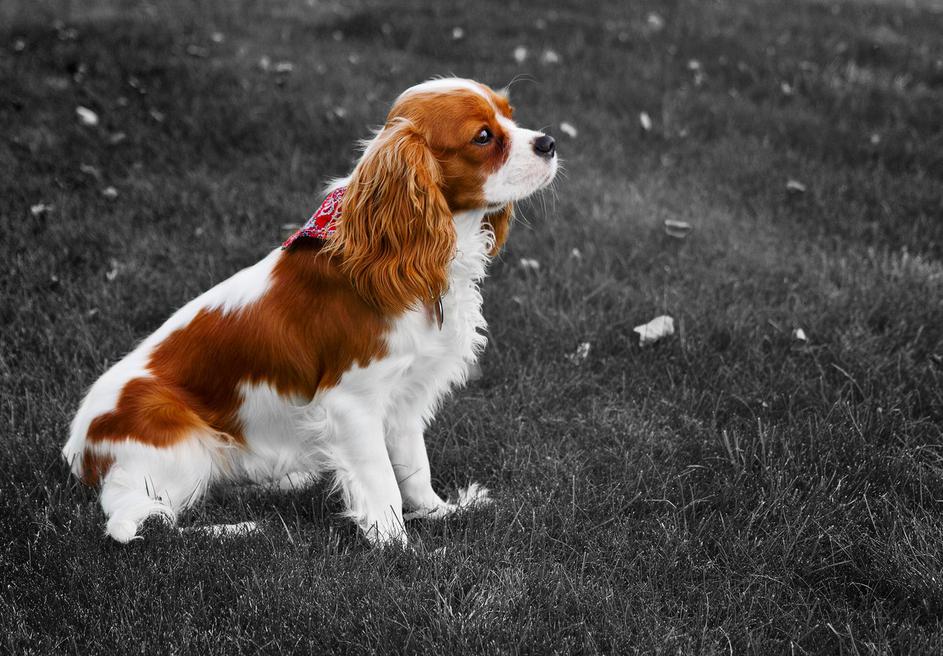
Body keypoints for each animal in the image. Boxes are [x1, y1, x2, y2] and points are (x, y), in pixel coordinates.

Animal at [64, 78, 558, 545]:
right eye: (483, 136)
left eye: (511, 115)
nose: (549, 142)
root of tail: (79, 451)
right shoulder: (352, 402)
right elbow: (381, 481)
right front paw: (398, 545)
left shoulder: (403, 396)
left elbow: (414, 464)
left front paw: (439, 511)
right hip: (181, 441)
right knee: (150, 522)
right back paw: (242, 529)